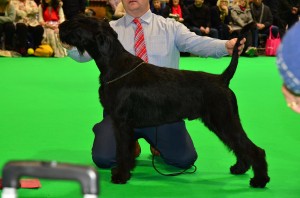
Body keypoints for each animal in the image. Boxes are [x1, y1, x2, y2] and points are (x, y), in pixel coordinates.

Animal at [59, 15, 270, 187]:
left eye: (80, 22)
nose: (60, 26)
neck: (114, 64)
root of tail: (222, 79)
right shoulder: (124, 125)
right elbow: (126, 150)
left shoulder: (121, 123)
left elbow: (122, 151)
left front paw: (121, 176)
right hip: (221, 122)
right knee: (239, 145)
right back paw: (239, 168)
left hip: (224, 120)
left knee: (253, 148)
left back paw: (259, 180)